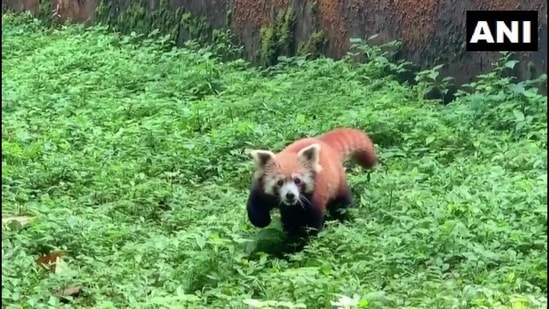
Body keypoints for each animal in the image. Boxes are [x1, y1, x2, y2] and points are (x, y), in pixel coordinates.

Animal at [245, 126, 376, 239]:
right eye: (280, 182)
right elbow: (255, 205)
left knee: (342, 204)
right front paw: (262, 221)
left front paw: (305, 239)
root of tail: (323, 142)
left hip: (337, 182)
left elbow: (311, 223)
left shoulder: (314, 197)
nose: (290, 195)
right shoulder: (262, 191)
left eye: (297, 180)